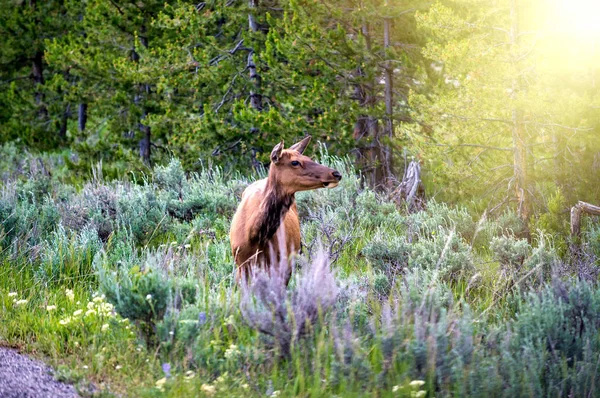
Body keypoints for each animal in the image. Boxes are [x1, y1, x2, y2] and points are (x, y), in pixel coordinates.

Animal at [230, 136, 342, 282]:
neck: (254, 236)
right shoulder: (241, 264)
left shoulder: (281, 265)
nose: (336, 173)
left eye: (309, 158)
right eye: (295, 162)